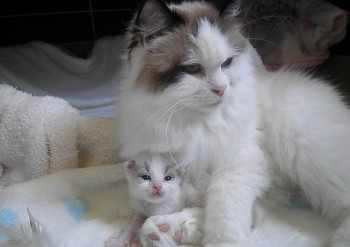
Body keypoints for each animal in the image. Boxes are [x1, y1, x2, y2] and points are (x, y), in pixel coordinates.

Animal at [117, 0, 350, 247]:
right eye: (193, 68)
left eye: (226, 63)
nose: (221, 89)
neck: (194, 124)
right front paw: (163, 228)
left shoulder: (240, 163)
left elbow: (222, 212)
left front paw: (213, 239)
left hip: (312, 158)